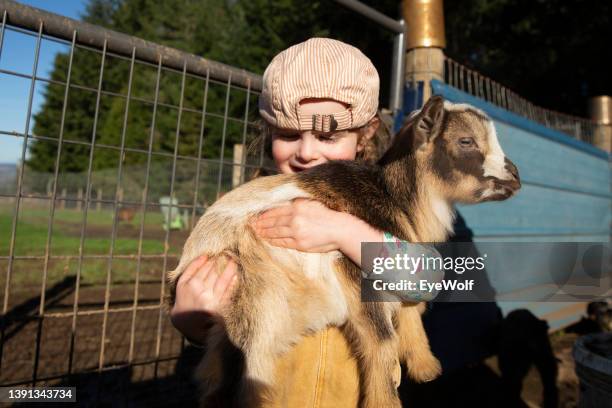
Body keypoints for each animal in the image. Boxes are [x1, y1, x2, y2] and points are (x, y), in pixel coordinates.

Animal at [167, 96, 520, 408]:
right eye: (466, 141)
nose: (515, 176)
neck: (394, 197)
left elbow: (407, 309)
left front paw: (426, 368)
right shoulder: (351, 267)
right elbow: (382, 339)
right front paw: (385, 402)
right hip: (260, 303)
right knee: (252, 371)